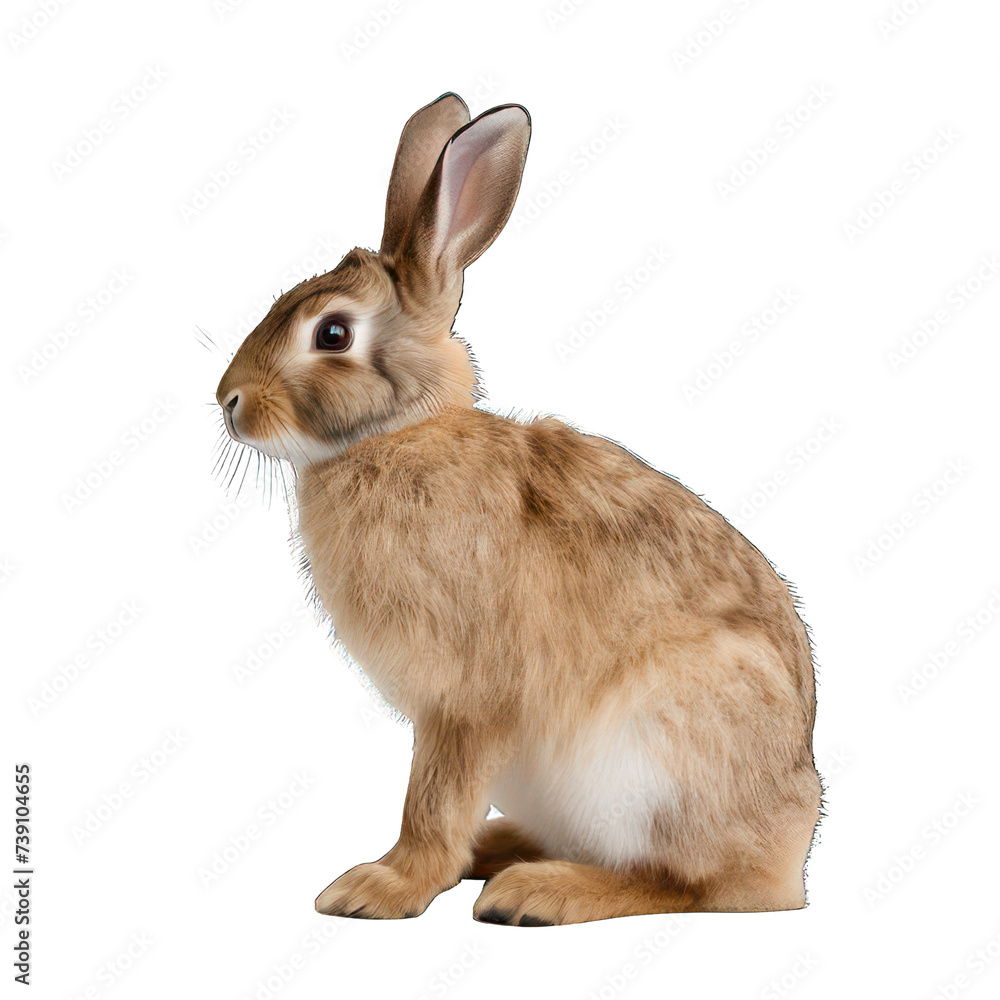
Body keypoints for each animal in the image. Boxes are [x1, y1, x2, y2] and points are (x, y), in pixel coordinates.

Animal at [215, 93, 822, 925]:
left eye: (331, 333)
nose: (229, 401)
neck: (399, 436)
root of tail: (794, 853)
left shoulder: (464, 704)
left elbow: (432, 801)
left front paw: (378, 888)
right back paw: (502, 851)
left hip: (652, 758)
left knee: (684, 882)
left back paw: (536, 892)